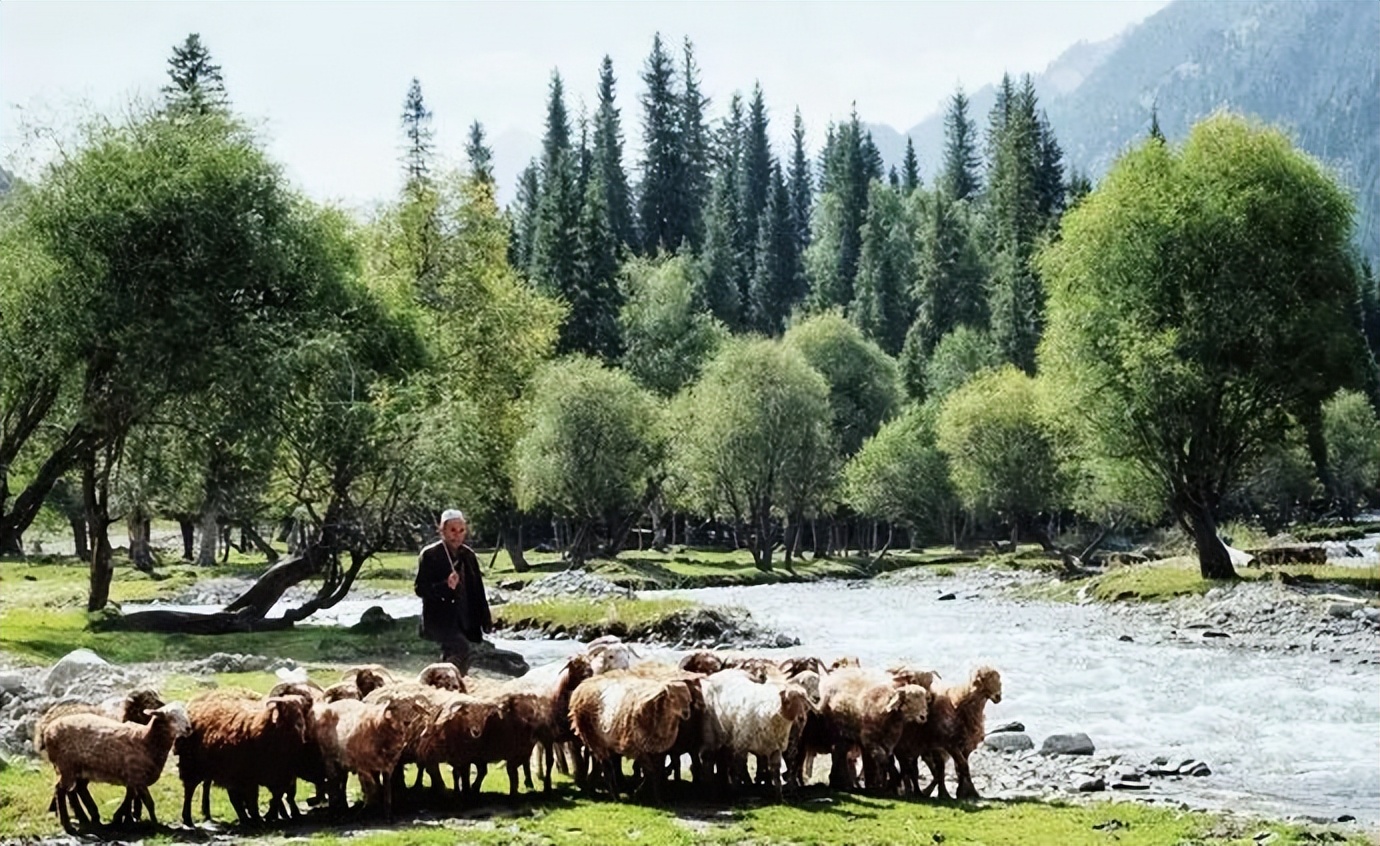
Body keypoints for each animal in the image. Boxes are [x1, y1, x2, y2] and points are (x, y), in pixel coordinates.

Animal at [35, 698, 189, 833]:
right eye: (171, 716)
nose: (188, 728)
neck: (146, 740)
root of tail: (47, 730)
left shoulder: (132, 779)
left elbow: (130, 797)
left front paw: (120, 818)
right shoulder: (137, 777)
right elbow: (149, 803)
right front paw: (155, 825)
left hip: (79, 768)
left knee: (77, 789)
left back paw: (90, 818)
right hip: (65, 765)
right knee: (60, 790)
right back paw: (69, 826)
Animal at [565, 665, 690, 800]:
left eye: (687, 699)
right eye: (673, 699)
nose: (686, 714)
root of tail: (583, 685)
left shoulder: (658, 752)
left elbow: (657, 773)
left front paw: (656, 796)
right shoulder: (641, 750)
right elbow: (651, 773)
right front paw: (650, 796)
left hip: (605, 742)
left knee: (604, 765)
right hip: (595, 739)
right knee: (607, 767)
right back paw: (613, 796)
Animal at [894, 662, 1004, 794]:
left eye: (999, 679)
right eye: (982, 679)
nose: (998, 697)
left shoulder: (964, 746)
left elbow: (960, 768)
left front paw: (964, 790)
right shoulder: (949, 745)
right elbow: (961, 766)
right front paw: (964, 792)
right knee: (909, 766)